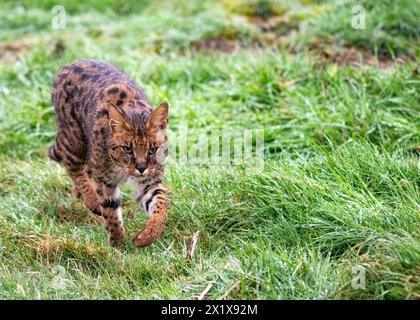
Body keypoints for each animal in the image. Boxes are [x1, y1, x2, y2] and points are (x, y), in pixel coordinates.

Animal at [48, 58, 169, 246]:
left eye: (153, 150)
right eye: (127, 149)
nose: (141, 168)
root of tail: (70, 64)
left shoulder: (149, 180)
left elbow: (160, 204)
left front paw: (148, 235)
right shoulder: (106, 180)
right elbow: (111, 211)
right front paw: (117, 244)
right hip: (75, 139)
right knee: (71, 165)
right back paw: (90, 198)